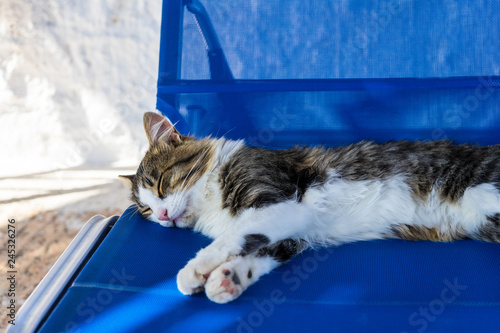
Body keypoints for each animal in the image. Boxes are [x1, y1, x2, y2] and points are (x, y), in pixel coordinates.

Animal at [120, 111, 500, 304]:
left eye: (160, 184)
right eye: (146, 212)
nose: (163, 216)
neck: (212, 208)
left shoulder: (279, 201)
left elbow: (228, 240)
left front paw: (195, 270)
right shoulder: (291, 234)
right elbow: (256, 254)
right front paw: (228, 279)